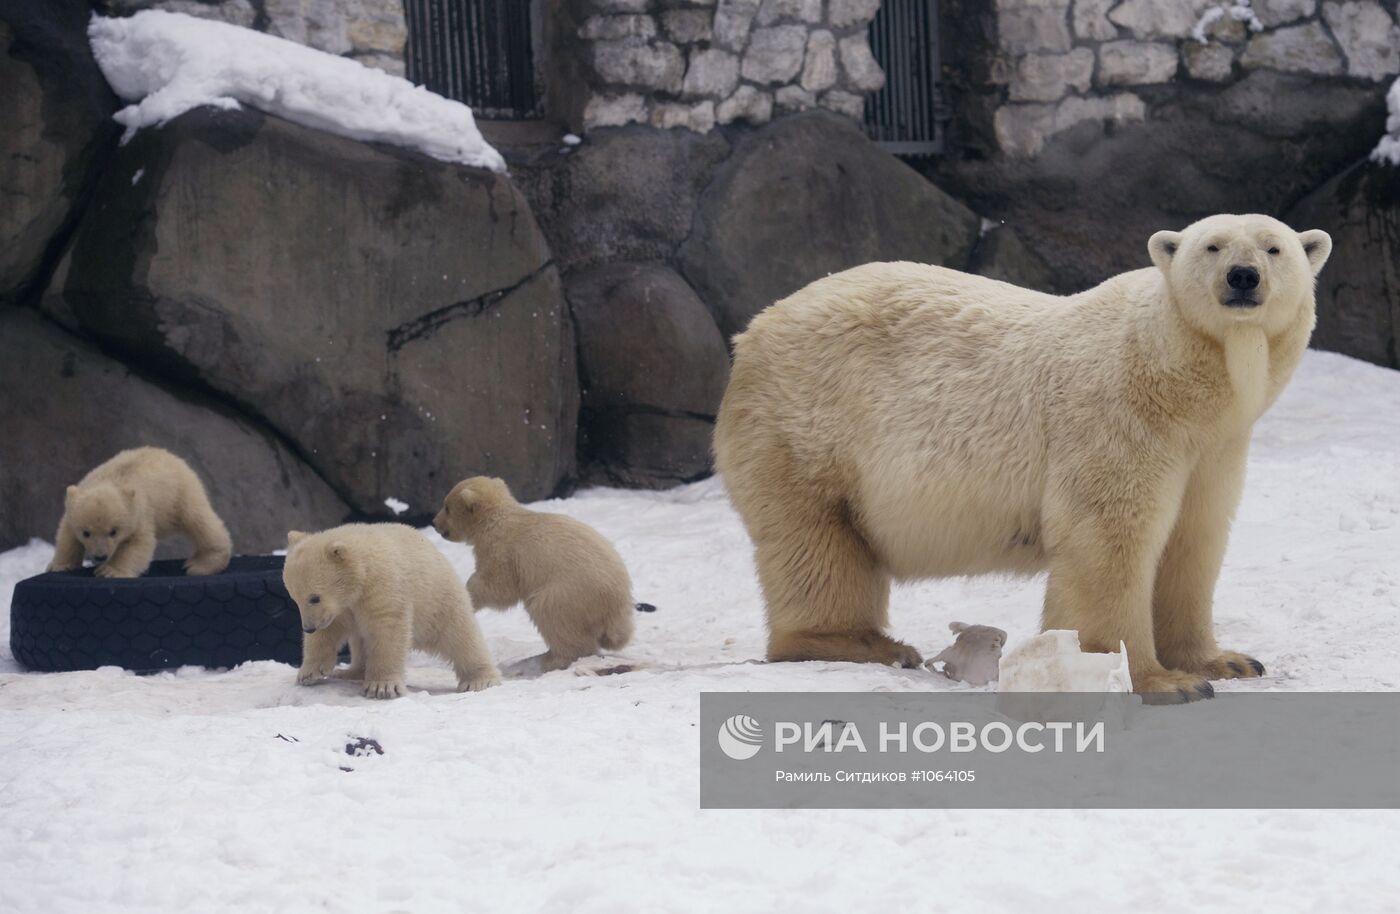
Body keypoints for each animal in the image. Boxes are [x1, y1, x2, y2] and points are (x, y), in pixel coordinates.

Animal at [716, 212, 1327, 699]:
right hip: (810, 428)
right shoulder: (1117, 416)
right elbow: (1109, 537)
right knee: (816, 541)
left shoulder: (1213, 448)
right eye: (1213, 246)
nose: (1243, 276)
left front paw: (1226, 662)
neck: (1174, 380)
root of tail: (753, 331)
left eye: (1274, 247)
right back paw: (865, 644)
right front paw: (1158, 681)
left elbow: (1192, 540)